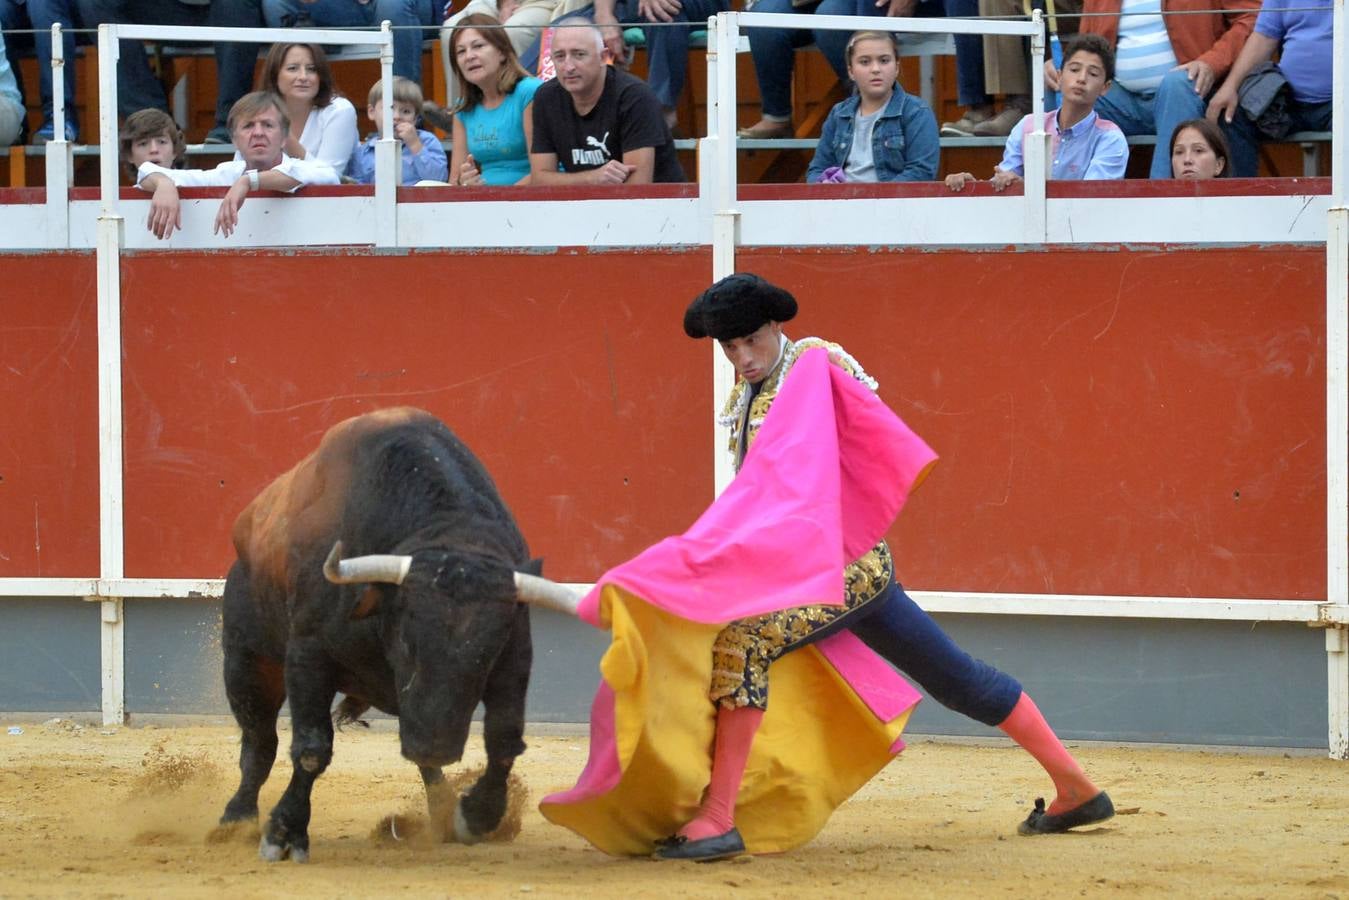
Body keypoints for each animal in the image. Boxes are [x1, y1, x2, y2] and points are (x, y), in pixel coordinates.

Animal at [218, 404, 577, 863]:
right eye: (408, 638)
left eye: (488, 651)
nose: (435, 745)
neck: (448, 534)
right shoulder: (307, 656)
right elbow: (312, 748)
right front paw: (285, 832)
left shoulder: (513, 665)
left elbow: (503, 742)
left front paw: (475, 815)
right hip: (247, 661)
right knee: (259, 743)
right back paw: (237, 818)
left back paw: (442, 809)